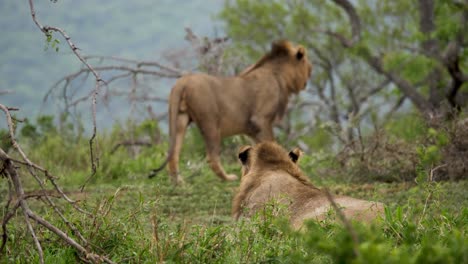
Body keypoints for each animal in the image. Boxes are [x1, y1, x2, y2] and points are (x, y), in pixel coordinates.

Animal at [150, 40, 310, 184]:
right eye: (307, 66)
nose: (310, 74)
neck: (278, 74)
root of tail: (182, 82)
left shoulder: (252, 130)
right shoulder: (260, 120)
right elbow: (271, 144)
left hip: (179, 119)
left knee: (173, 153)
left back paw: (178, 182)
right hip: (210, 122)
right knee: (211, 157)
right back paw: (228, 178)